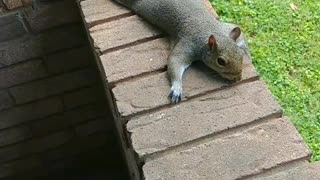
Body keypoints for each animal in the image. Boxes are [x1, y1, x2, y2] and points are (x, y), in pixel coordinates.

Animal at [113, 0, 250, 103]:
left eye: (240, 55)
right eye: (220, 61)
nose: (238, 78)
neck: (209, 30)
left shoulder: (225, 27)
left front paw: (247, 51)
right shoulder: (188, 43)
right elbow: (175, 60)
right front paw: (177, 87)